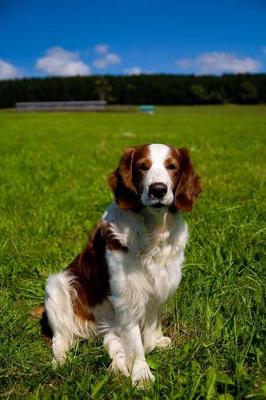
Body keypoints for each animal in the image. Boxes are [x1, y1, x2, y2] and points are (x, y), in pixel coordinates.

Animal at [42, 142, 201, 386]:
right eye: (142, 166)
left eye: (172, 166)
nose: (158, 190)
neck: (152, 231)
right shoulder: (128, 297)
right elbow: (135, 344)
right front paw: (142, 375)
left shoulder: (160, 285)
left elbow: (152, 324)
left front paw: (155, 343)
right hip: (57, 285)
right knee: (60, 338)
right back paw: (61, 362)